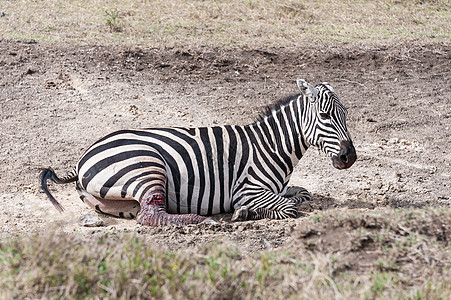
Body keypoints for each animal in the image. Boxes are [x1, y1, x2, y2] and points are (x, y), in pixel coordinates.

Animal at [40, 78, 356, 226]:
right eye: (325, 116)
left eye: (345, 115)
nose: (349, 157)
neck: (271, 145)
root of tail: (83, 158)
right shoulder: (248, 189)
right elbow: (288, 207)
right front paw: (244, 212)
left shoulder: (278, 188)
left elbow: (302, 194)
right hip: (147, 166)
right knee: (153, 215)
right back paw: (202, 220)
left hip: (117, 201)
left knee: (145, 211)